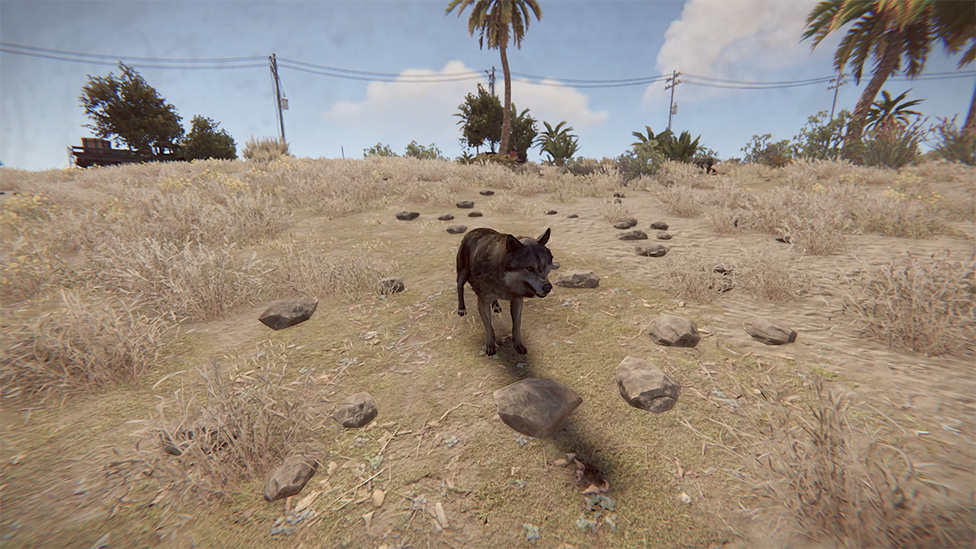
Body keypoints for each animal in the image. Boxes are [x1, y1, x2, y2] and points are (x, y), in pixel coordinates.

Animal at [456, 227, 553, 356]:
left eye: (545, 266)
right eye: (529, 268)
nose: (548, 287)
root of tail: (474, 230)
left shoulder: (517, 301)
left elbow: (516, 326)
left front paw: (518, 345)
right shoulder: (482, 302)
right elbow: (489, 327)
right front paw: (490, 345)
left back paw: (496, 306)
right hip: (463, 273)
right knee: (459, 286)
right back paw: (461, 308)